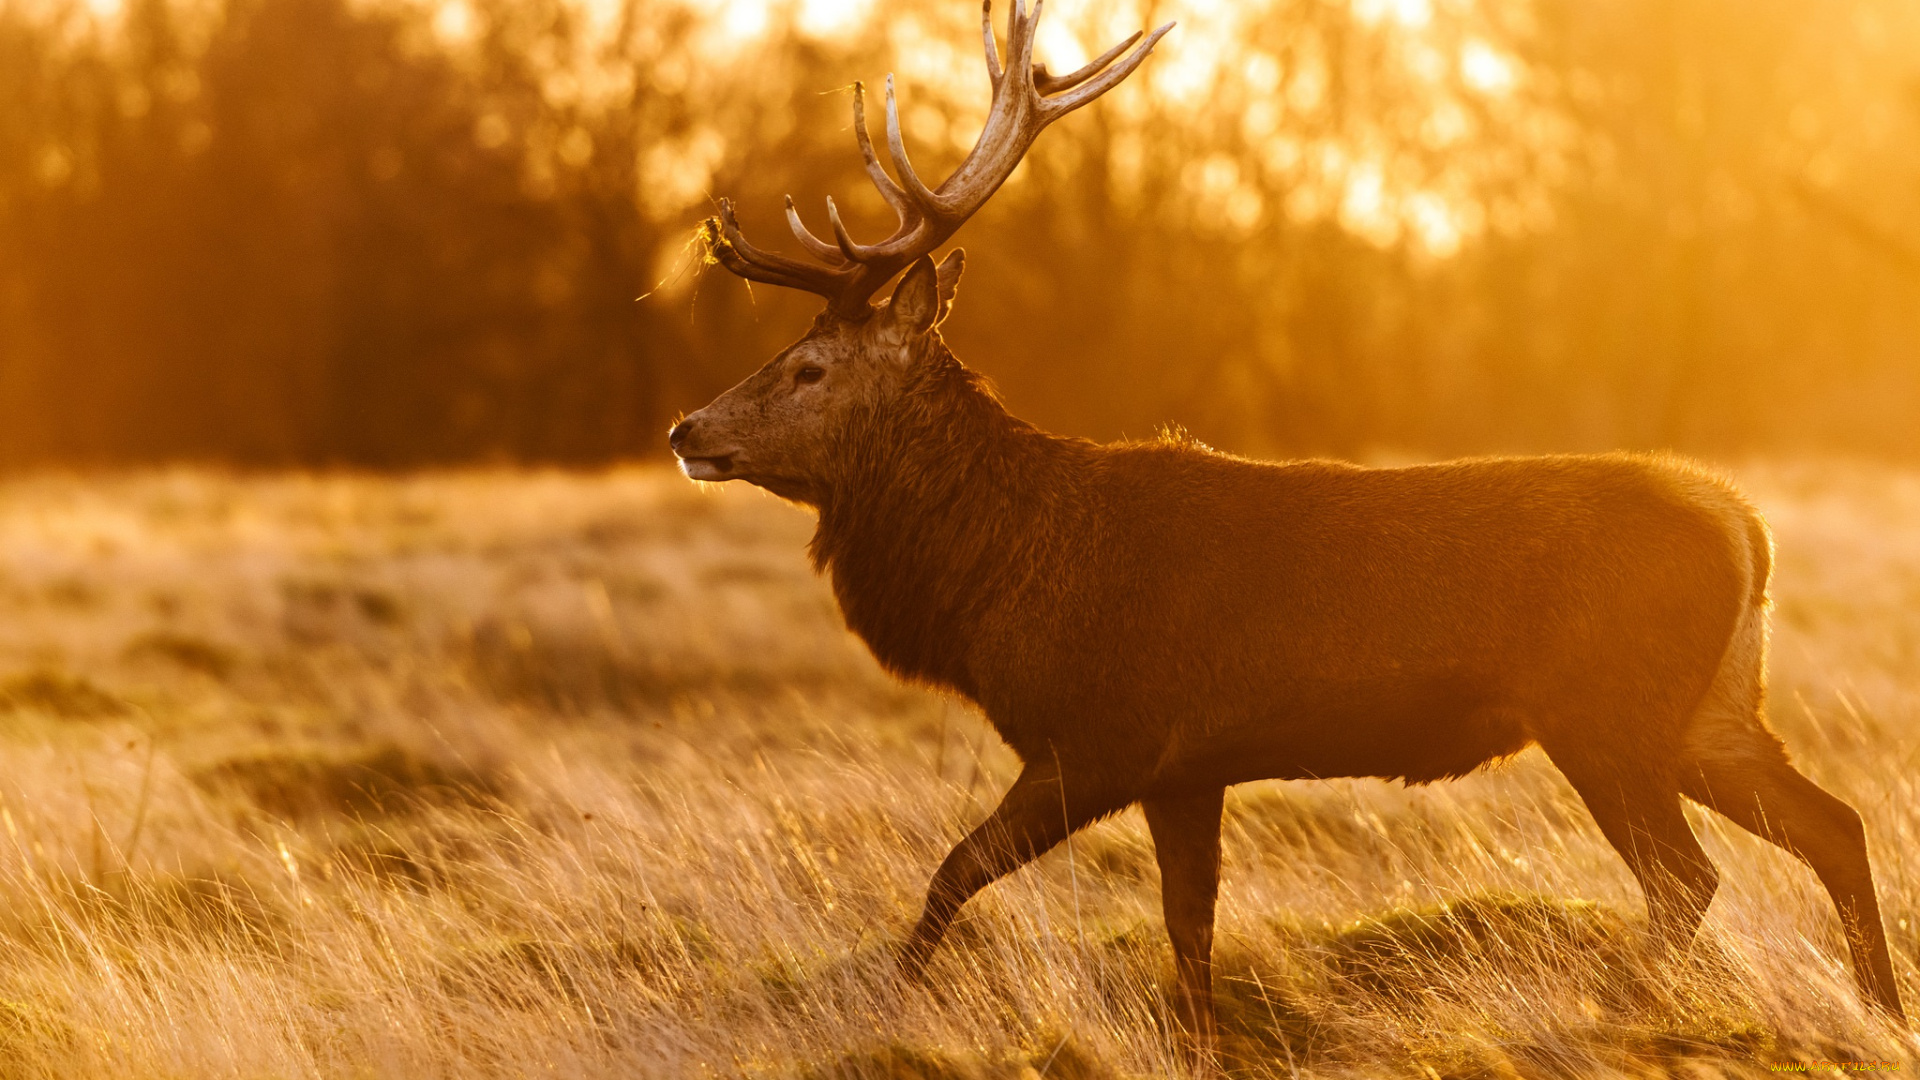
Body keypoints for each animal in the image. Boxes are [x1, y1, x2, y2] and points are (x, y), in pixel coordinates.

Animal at [664, 0, 1904, 1053]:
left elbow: (954, 874)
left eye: (811, 367)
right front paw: (1197, 1047)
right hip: (1711, 709)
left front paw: (885, 1009)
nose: (686, 428)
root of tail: (1742, 525)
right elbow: (1189, 929)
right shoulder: (1186, 766)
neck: (1003, 576)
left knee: (1690, 877)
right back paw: (1880, 1013)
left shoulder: (1103, 735)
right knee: (1833, 822)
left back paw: (1617, 1007)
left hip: (1607, 710)